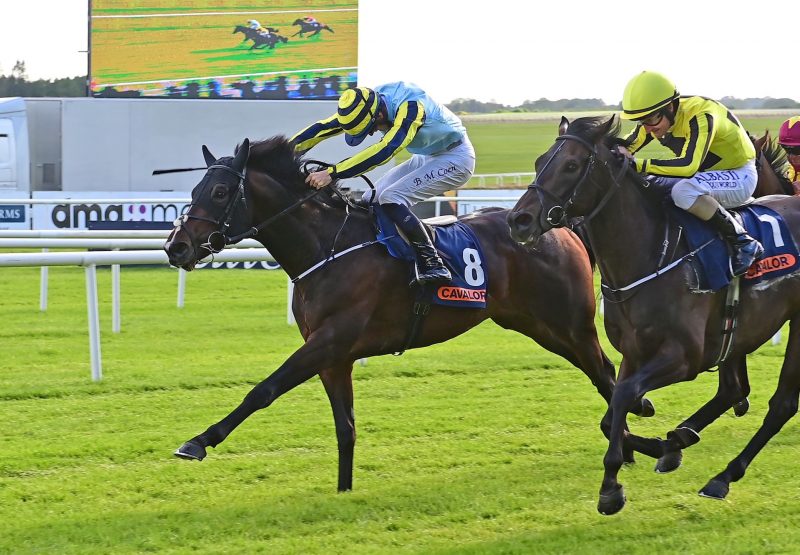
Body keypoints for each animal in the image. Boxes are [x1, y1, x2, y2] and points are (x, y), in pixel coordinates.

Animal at [164, 137, 656, 494]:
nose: (176, 246)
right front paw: (344, 491)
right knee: (604, 376)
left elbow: (263, 390)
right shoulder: (334, 356)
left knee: (606, 374)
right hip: (538, 326)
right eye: (194, 191)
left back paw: (632, 439)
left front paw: (198, 442)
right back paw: (633, 439)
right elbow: (345, 428)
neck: (327, 247)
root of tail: (559, 225)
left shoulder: (330, 339)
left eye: (220, 192)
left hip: (569, 324)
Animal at [510, 116, 800, 516]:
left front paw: (612, 486)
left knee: (782, 403)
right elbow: (612, 412)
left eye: (571, 165)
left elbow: (623, 395)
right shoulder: (635, 352)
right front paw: (666, 446)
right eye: (539, 162)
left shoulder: (685, 357)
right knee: (734, 389)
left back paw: (723, 477)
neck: (652, 254)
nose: (518, 220)